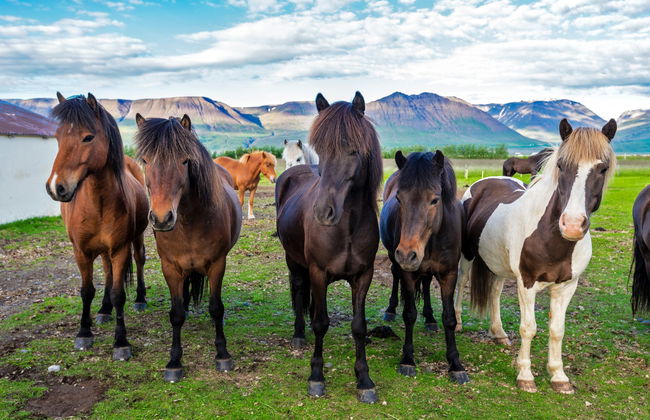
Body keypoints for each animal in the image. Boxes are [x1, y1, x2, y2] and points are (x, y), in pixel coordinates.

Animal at [46, 92, 149, 360]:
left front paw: (121, 342)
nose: (56, 187)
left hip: (136, 239)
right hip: (102, 251)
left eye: (88, 137)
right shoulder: (81, 252)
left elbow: (119, 293)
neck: (97, 203)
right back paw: (103, 310)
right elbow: (87, 290)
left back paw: (140, 299)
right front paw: (84, 332)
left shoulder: (120, 249)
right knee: (108, 271)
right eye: (57, 136)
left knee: (139, 260)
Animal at [135, 113, 241, 382]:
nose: (162, 218)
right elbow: (176, 313)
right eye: (145, 160)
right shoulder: (170, 268)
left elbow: (216, 308)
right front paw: (174, 362)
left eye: (184, 161)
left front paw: (222, 354)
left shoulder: (217, 265)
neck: (189, 223)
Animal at [275, 92, 382, 403]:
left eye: (354, 151)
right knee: (300, 290)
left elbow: (359, 326)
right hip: (294, 261)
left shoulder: (363, 275)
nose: (323, 212)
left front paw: (364, 380)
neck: (347, 228)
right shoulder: (318, 272)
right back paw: (300, 335)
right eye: (321, 150)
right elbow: (321, 323)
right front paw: (316, 376)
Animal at [379, 150, 469, 384]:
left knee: (427, 283)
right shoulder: (408, 273)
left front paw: (455, 364)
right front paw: (407, 360)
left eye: (434, 200)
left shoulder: (449, 274)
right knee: (395, 275)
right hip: (394, 258)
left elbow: (449, 318)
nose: (407, 254)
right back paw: (390, 309)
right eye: (399, 198)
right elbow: (409, 314)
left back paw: (429, 318)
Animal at [454, 118, 617, 394]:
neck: (551, 239)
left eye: (603, 169)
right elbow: (529, 328)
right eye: (561, 165)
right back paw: (456, 323)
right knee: (460, 283)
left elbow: (557, 330)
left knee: (495, 292)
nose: (572, 225)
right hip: (467, 259)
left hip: (498, 265)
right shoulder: (527, 282)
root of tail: (485, 182)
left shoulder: (567, 286)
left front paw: (559, 376)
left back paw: (498, 333)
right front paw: (525, 376)